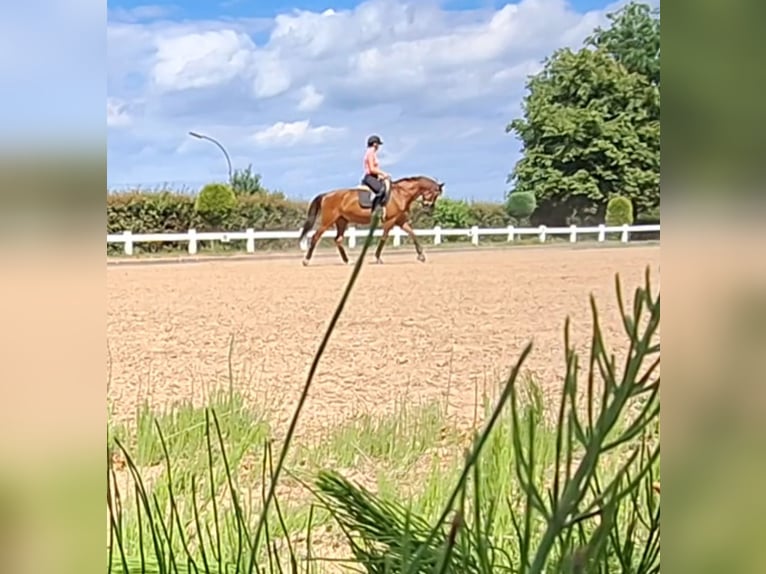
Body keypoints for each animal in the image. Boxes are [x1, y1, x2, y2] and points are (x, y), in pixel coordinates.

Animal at [298, 175, 444, 266]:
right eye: (435, 194)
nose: (429, 208)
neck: (401, 194)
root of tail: (326, 195)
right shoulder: (390, 221)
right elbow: (384, 238)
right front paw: (378, 257)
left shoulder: (400, 221)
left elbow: (413, 234)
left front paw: (421, 256)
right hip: (327, 221)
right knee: (316, 237)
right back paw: (306, 261)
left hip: (342, 221)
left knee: (338, 239)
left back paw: (347, 261)